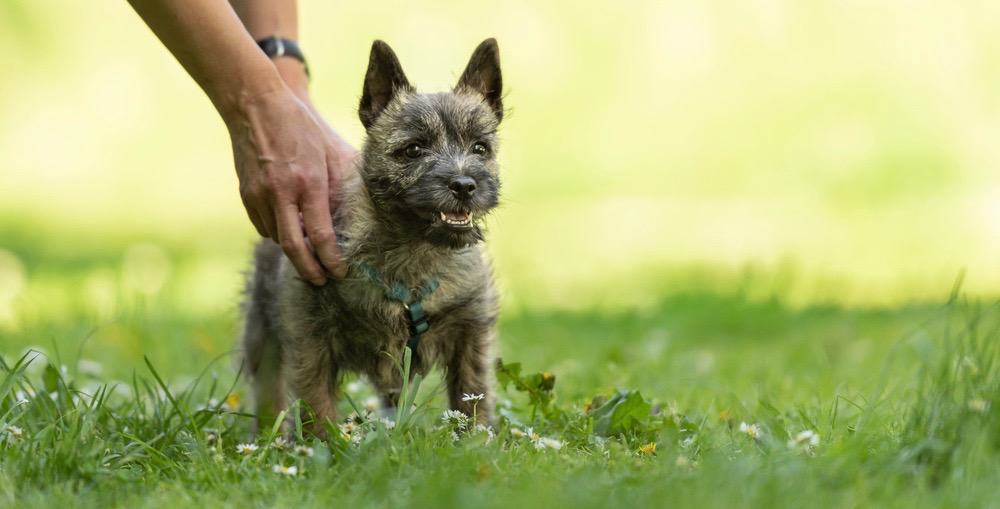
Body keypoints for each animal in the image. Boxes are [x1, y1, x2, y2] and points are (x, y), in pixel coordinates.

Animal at [239, 38, 504, 436]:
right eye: (413, 149)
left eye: (480, 148)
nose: (464, 185)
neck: (414, 253)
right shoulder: (311, 338)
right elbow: (316, 402)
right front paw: (322, 446)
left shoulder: (470, 334)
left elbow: (472, 394)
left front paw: (475, 441)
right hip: (262, 336)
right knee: (270, 390)